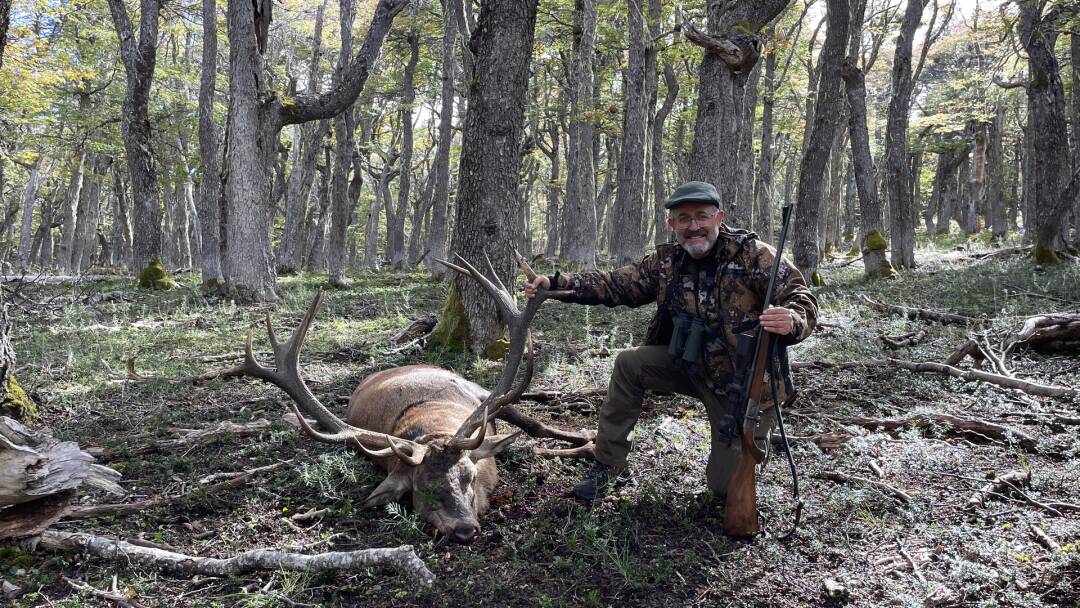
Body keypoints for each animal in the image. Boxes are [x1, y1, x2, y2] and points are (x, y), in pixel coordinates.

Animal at [235, 254, 587, 544]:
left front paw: (584, 439)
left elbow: (537, 428)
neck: (435, 425)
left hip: (477, 387)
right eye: (422, 490)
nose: (465, 530)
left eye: (469, 478)